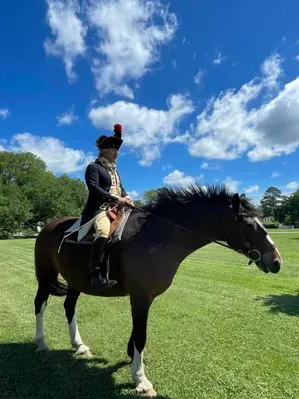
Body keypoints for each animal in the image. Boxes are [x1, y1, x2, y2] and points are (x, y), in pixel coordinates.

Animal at [34, 186, 282, 398]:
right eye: (249, 225)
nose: (276, 261)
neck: (156, 237)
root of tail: (47, 226)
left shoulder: (145, 298)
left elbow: (137, 333)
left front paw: (132, 359)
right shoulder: (140, 297)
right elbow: (141, 336)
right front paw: (141, 380)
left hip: (75, 282)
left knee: (69, 307)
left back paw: (78, 345)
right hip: (46, 276)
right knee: (40, 304)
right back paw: (41, 342)